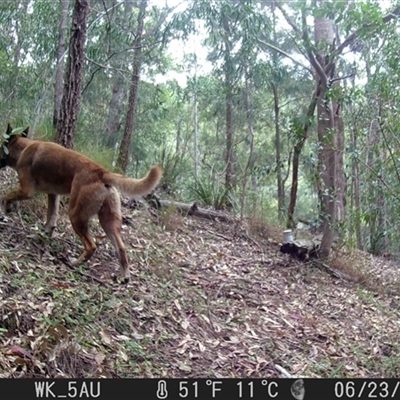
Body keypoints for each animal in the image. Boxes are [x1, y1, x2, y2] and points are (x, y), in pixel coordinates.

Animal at [0, 125, 162, 282]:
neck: (24, 148)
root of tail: (102, 172)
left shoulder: (27, 191)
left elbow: (6, 196)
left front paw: (5, 210)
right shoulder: (53, 195)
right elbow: (51, 218)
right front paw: (44, 235)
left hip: (75, 215)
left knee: (91, 246)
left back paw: (75, 263)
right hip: (108, 222)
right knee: (121, 248)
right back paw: (124, 276)